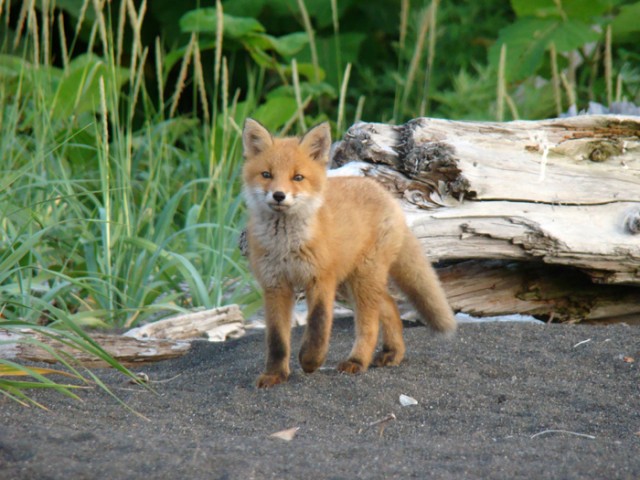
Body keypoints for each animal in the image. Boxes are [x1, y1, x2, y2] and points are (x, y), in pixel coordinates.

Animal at [240, 118, 456, 388]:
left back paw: (357, 360)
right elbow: (277, 340)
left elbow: (318, 325)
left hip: (361, 278)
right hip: (349, 283)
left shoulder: (321, 279)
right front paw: (275, 374)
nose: (279, 195)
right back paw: (392, 353)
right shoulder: (275, 286)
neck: (286, 246)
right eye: (266, 175)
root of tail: (384, 193)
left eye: (298, 177)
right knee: (389, 306)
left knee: (370, 323)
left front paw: (311, 361)